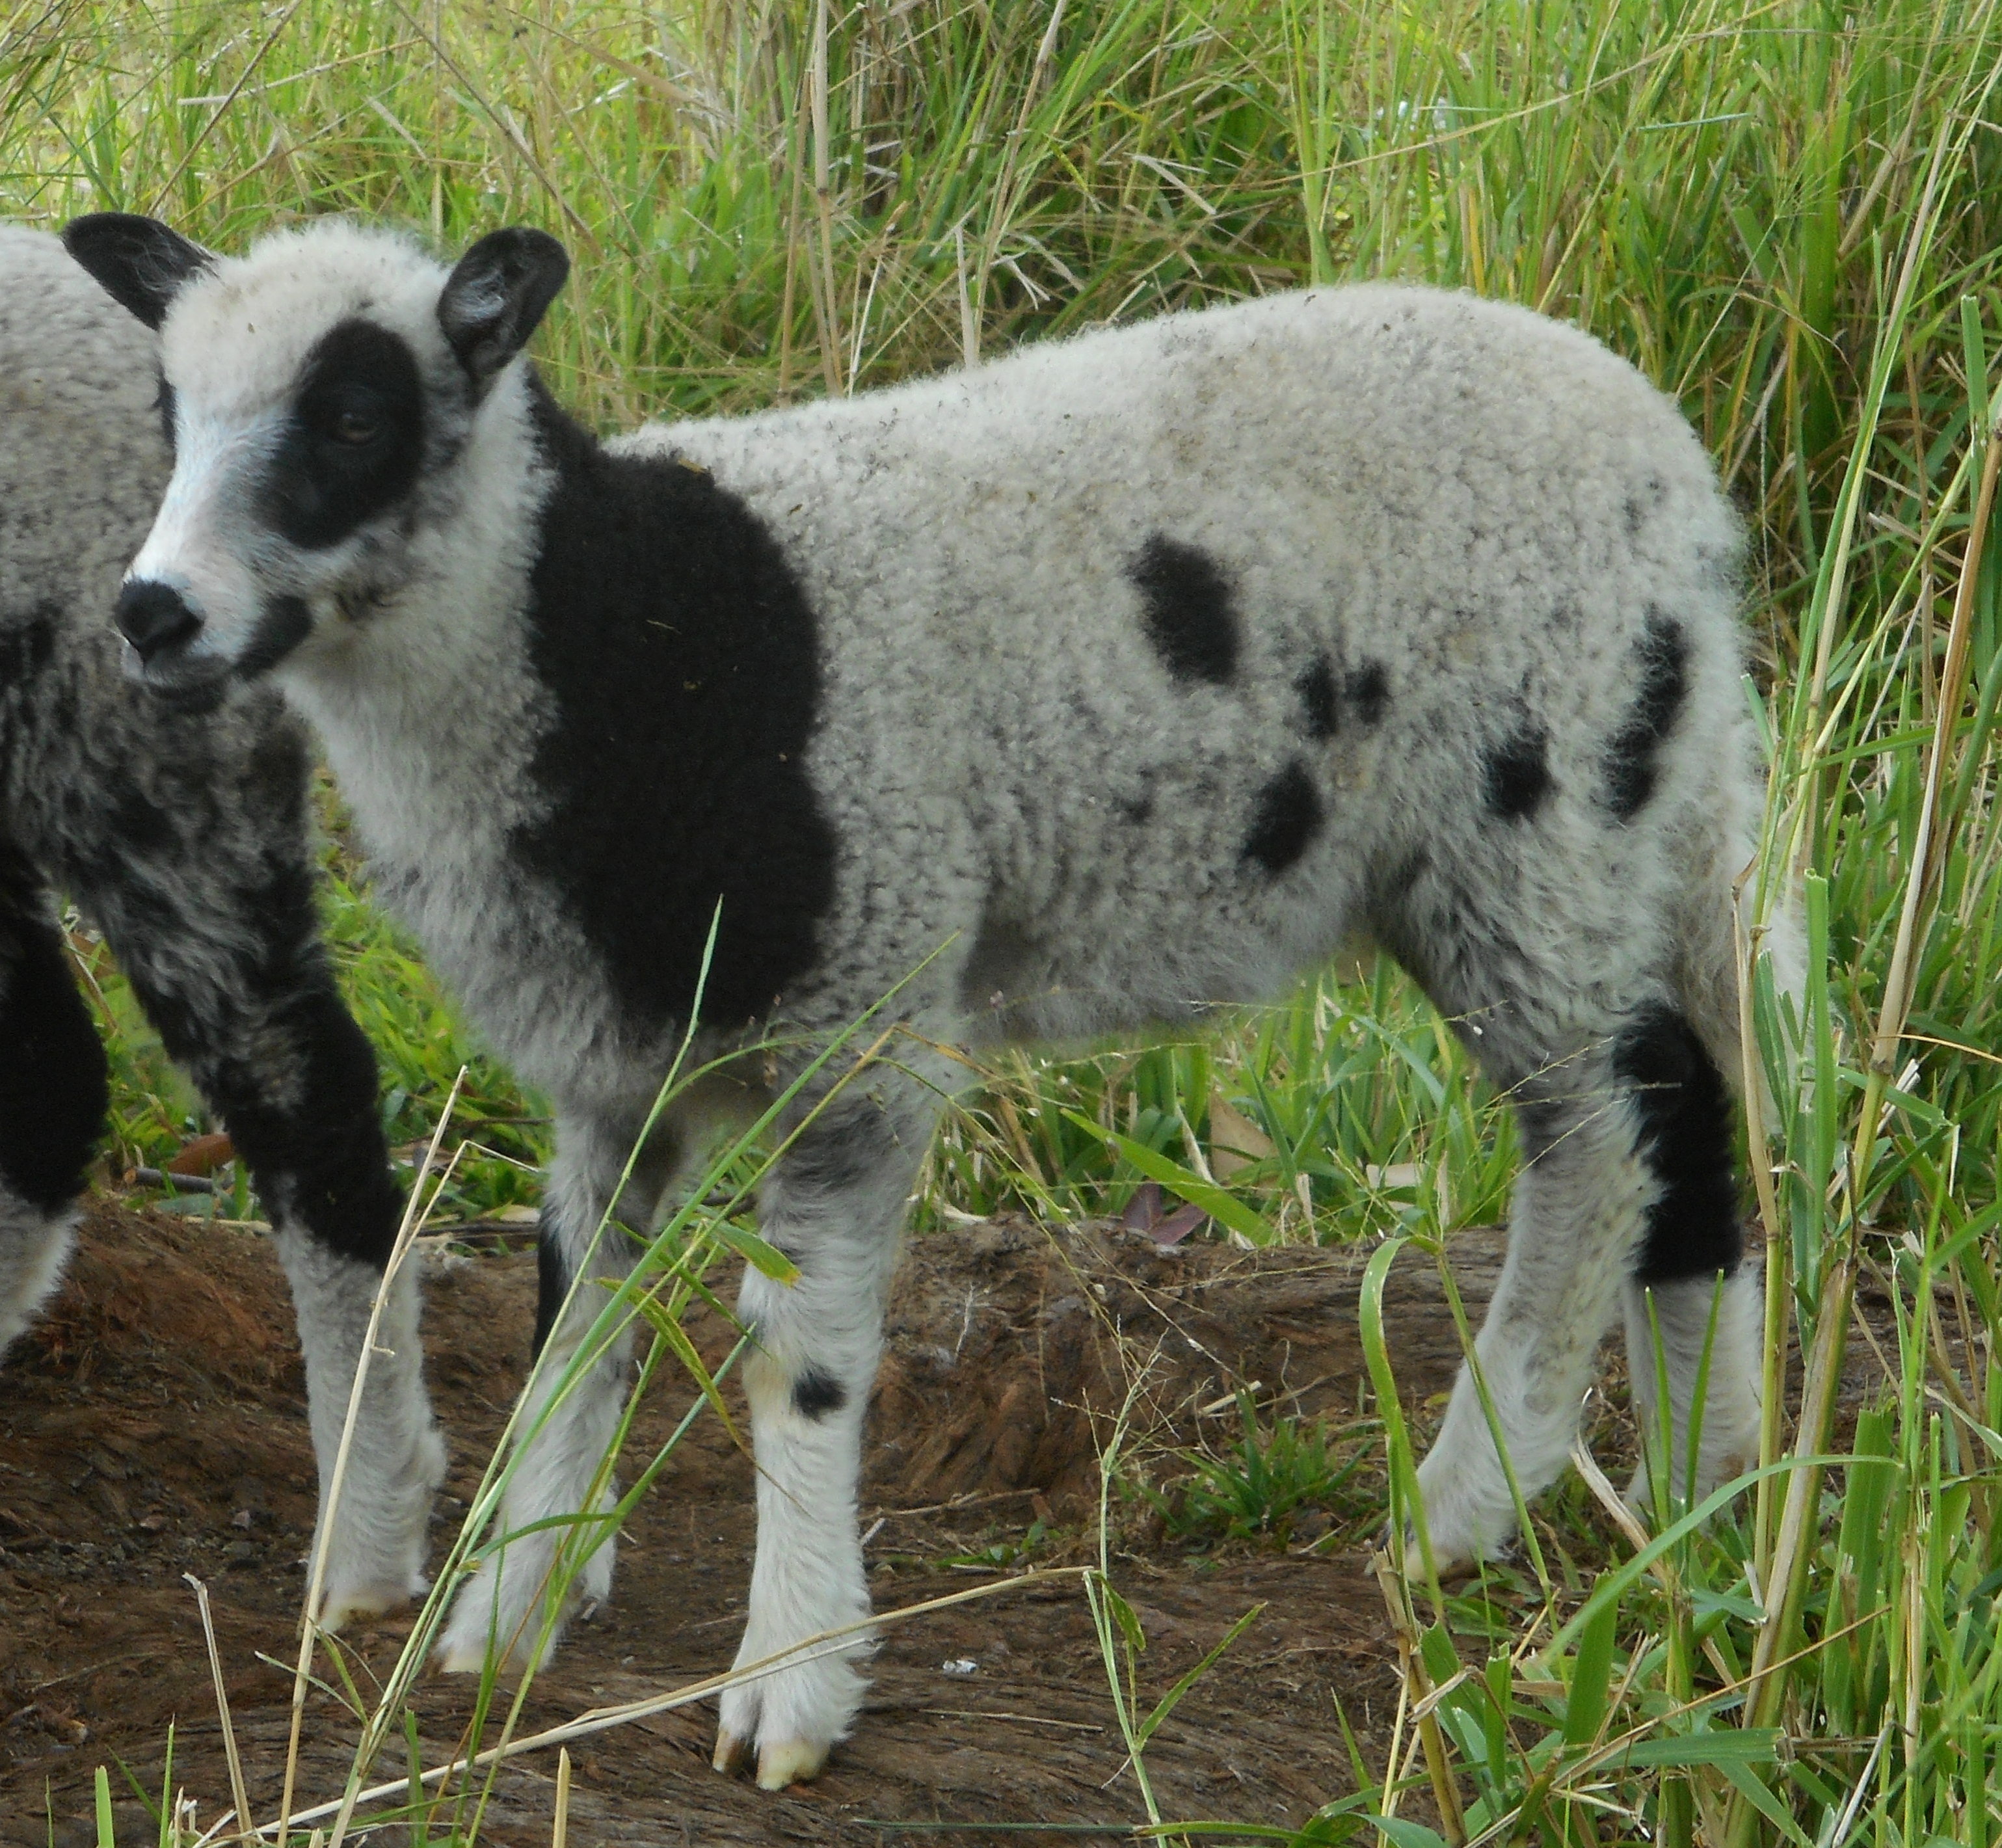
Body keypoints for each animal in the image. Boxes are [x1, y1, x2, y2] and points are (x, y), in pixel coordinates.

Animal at [62, 213, 1793, 1793]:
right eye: (167, 409)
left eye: (355, 418)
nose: (153, 614)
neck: (597, 637)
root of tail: (1685, 493)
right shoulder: (612, 1059)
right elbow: (578, 1320)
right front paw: (509, 1609)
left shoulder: (862, 1021)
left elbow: (794, 1363)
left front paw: (790, 1681)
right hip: (1608, 827)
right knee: (1692, 1131)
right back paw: (1705, 1495)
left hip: (1537, 808)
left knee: (1604, 1142)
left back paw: (1473, 1497)